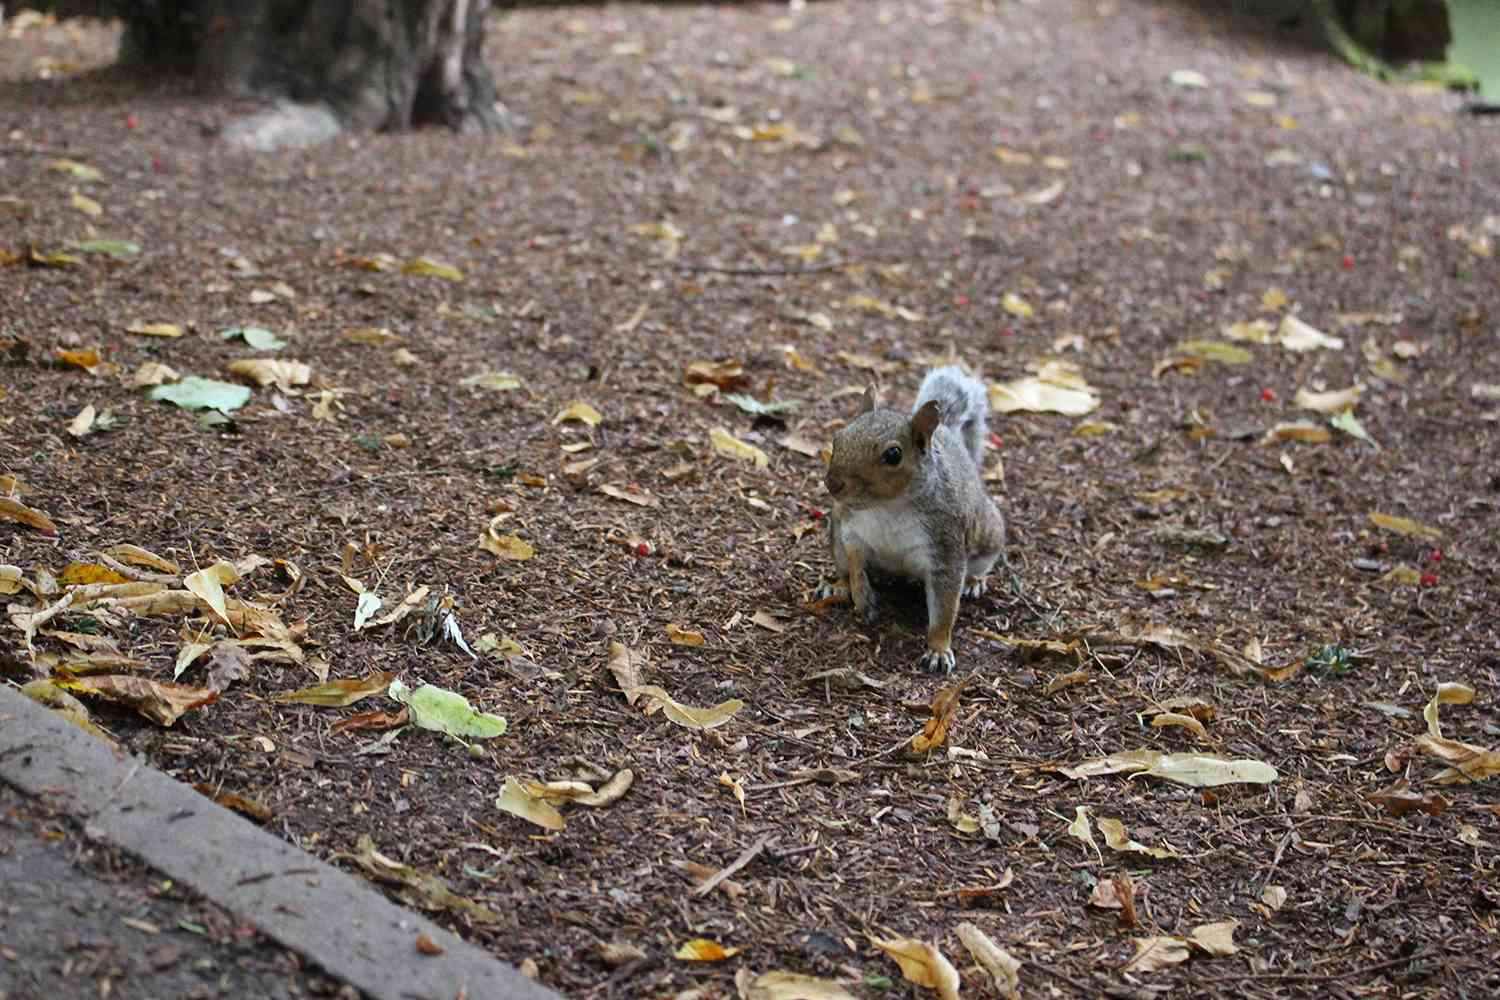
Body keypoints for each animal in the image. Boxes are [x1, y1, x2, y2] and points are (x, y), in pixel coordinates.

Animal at [822, 364, 1008, 677]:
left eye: (893, 454)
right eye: (838, 438)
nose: (832, 483)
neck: (887, 508)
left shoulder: (945, 548)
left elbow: (944, 609)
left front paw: (938, 650)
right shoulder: (849, 529)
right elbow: (856, 562)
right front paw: (862, 596)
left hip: (987, 534)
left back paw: (974, 581)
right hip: (834, 533)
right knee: (845, 566)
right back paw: (838, 585)